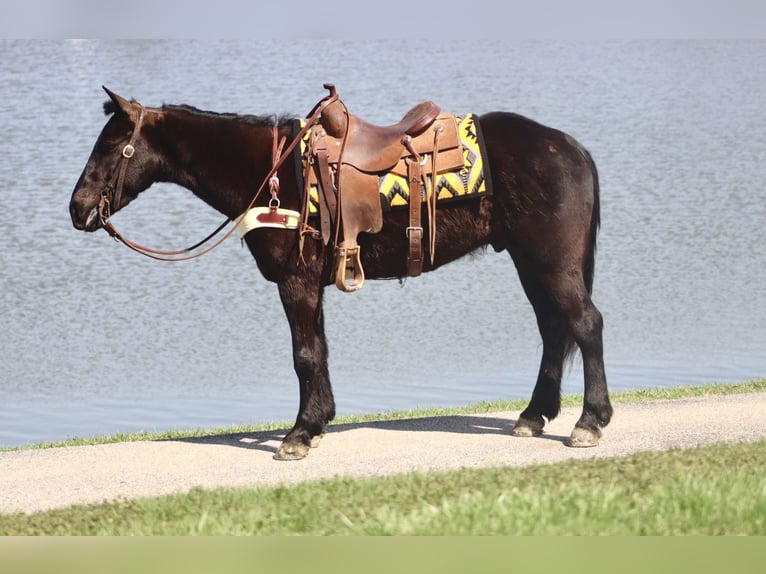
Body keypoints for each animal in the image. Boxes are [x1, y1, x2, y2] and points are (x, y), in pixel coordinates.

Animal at [69, 86, 612, 460]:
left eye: (112, 147)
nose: (76, 208)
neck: (273, 175)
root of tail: (572, 147)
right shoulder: (313, 285)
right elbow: (320, 352)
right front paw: (318, 422)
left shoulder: (296, 282)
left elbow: (305, 356)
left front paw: (298, 434)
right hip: (530, 263)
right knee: (554, 330)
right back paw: (534, 415)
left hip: (553, 263)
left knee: (585, 324)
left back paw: (590, 421)